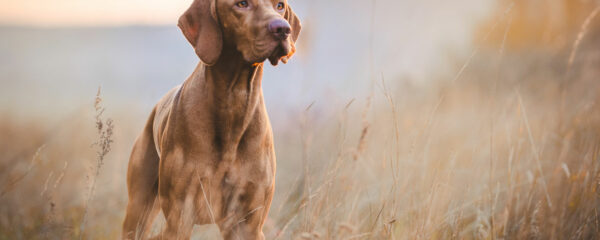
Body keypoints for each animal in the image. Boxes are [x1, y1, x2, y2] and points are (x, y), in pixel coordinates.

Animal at [121, 0, 300, 239]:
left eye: (280, 5)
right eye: (242, 4)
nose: (282, 29)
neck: (234, 101)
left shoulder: (249, 223)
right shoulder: (180, 218)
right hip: (138, 209)